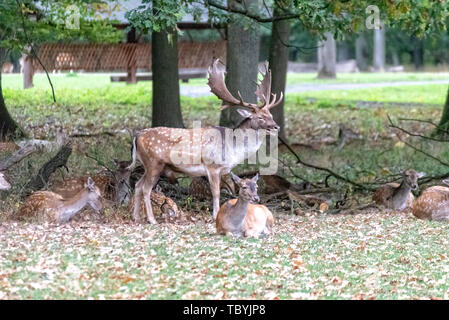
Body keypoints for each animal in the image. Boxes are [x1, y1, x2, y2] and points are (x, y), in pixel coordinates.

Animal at [126, 58, 280, 224]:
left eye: (271, 115)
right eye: (260, 117)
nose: (276, 126)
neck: (233, 150)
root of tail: (137, 136)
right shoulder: (212, 166)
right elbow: (216, 192)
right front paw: (215, 215)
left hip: (148, 165)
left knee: (137, 185)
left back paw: (136, 217)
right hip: (154, 162)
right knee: (146, 188)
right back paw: (151, 219)